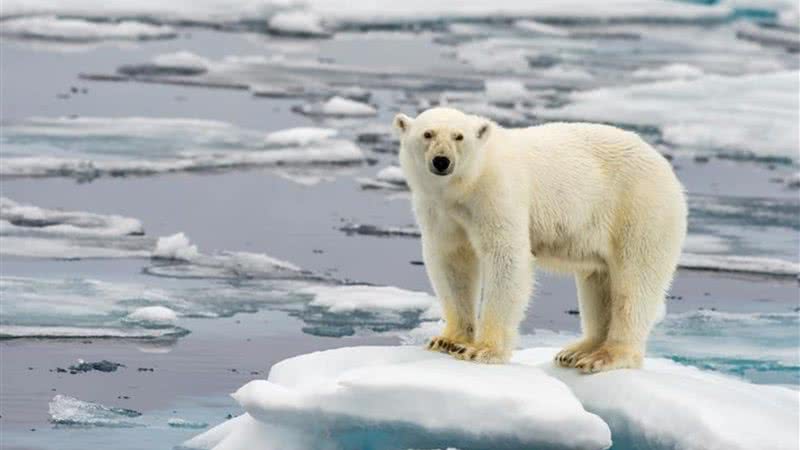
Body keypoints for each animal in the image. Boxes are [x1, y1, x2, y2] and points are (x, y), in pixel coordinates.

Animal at [394, 106, 688, 372]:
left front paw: (482, 350)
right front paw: (447, 340)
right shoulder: (439, 210)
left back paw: (605, 356)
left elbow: (506, 257)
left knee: (635, 281)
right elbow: (452, 262)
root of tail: (666, 168)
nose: (442, 161)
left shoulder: (497, 194)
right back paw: (577, 352)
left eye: (459, 136)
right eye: (428, 134)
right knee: (599, 280)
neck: (465, 185)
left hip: (639, 209)